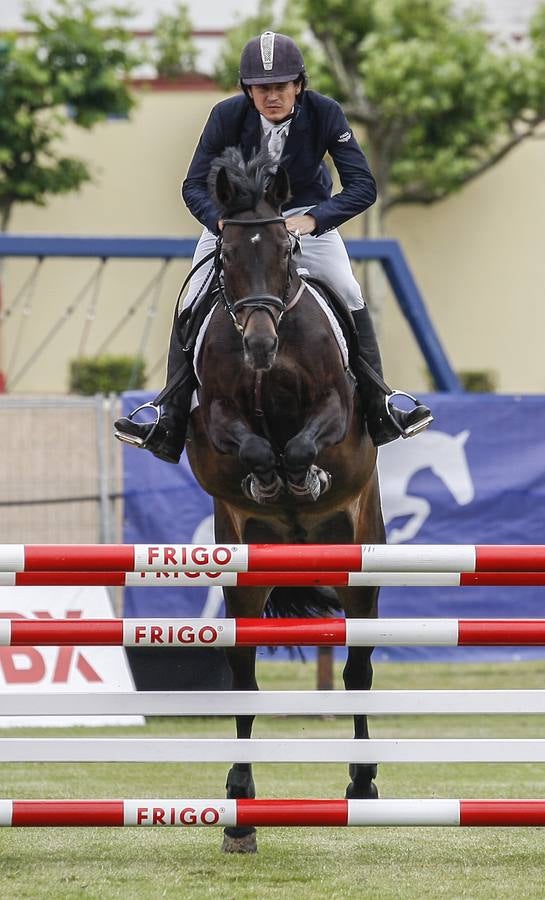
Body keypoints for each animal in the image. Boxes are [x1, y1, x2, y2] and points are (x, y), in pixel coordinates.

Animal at [185, 148, 384, 852]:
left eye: (284, 249)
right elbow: (250, 448)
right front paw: (268, 481)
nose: (260, 347)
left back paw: (362, 784)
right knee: (244, 678)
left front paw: (302, 480)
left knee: (357, 674)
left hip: (362, 567)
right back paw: (240, 808)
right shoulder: (214, 417)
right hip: (243, 576)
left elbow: (301, 446)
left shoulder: (335, 409)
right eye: (226, 255)